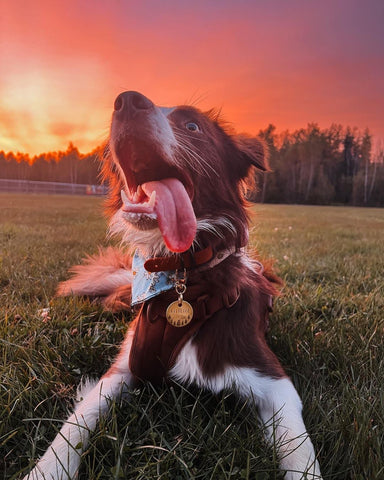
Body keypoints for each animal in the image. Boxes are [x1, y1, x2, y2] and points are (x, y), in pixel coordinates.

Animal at [24, 91, 322, 480]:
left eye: (192, 126)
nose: (126, 101)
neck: (180, 276)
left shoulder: (274, 382)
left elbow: (301, 455)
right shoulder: (122, 369)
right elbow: (74, 426)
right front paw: (45, 470)